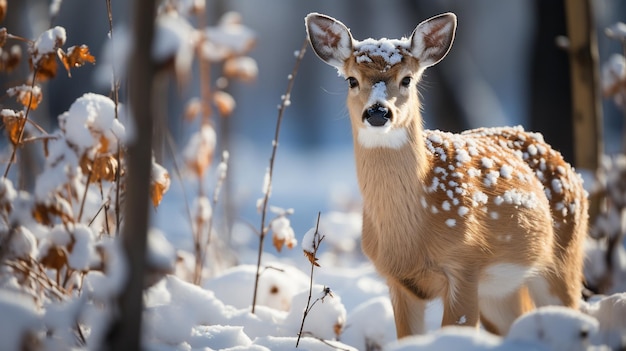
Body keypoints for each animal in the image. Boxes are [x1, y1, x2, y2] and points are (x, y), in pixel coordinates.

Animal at [304, 12, 588, 338]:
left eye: (407, 79)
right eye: (352, 80)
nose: (378, 112)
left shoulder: (465, 264)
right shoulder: (397, 280)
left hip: (564, 258)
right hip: (500, 293)